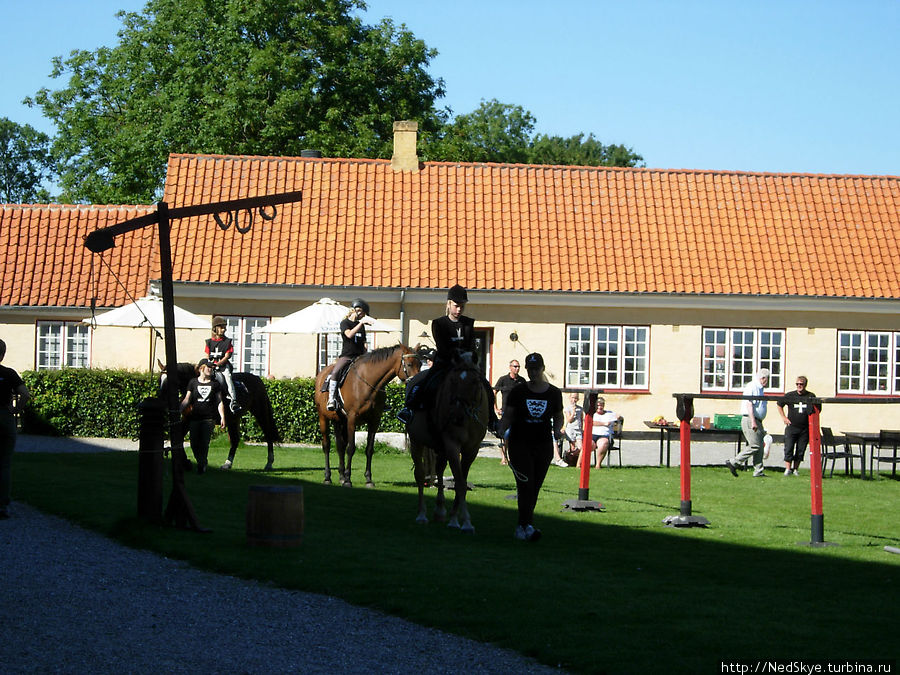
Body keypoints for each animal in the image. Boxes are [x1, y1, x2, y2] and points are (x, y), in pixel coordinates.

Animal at [314, 346, 420, 488]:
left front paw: (368, 479)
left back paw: (341, 476)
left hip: (339, 421)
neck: (367, 383)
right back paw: (327, 477)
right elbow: (351, 448)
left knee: (340, 446)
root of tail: (321, 374)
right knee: (326, 445)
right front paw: (348, 480)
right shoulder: (352, 419)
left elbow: (369, 449)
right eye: (409, 364)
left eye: (420, 364)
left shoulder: (374, 421)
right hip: (323, 418)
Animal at [410, 354, 492, 532]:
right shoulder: (453, 445)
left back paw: (440, 510)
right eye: (453, 381)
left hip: (440, 448)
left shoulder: (471, 450)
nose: (457, 416)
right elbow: (459, 483)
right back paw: (422, 514)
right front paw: (465, 522)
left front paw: (454, 517)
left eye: (475, 381)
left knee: (439, 470)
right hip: (416, 442)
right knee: (420, 474)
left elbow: (462, 481)